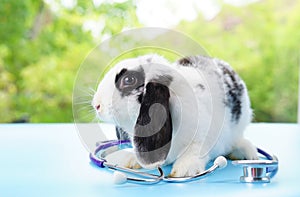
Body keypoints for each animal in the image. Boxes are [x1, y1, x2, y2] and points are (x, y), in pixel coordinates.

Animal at [92, 53, 258, 177]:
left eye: (128, 80)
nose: (97, 105)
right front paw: (126, 158)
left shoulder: (204, 135)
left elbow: (195, 150)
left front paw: (184, 170)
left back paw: (249, 154)